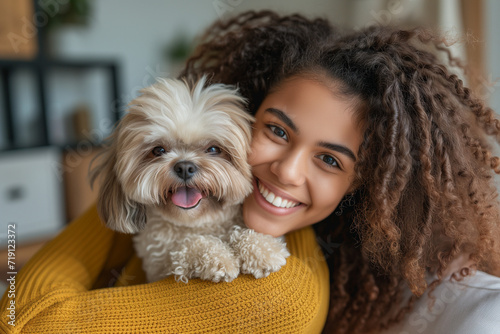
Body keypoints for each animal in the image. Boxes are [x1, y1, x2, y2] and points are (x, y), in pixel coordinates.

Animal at [90, 77, 290, 284]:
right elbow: (189, 247)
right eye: (158, 150)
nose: (185, 167)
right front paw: (219, 257)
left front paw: (262, 249)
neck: (196, 224)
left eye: (213, 149)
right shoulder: (161, 267)